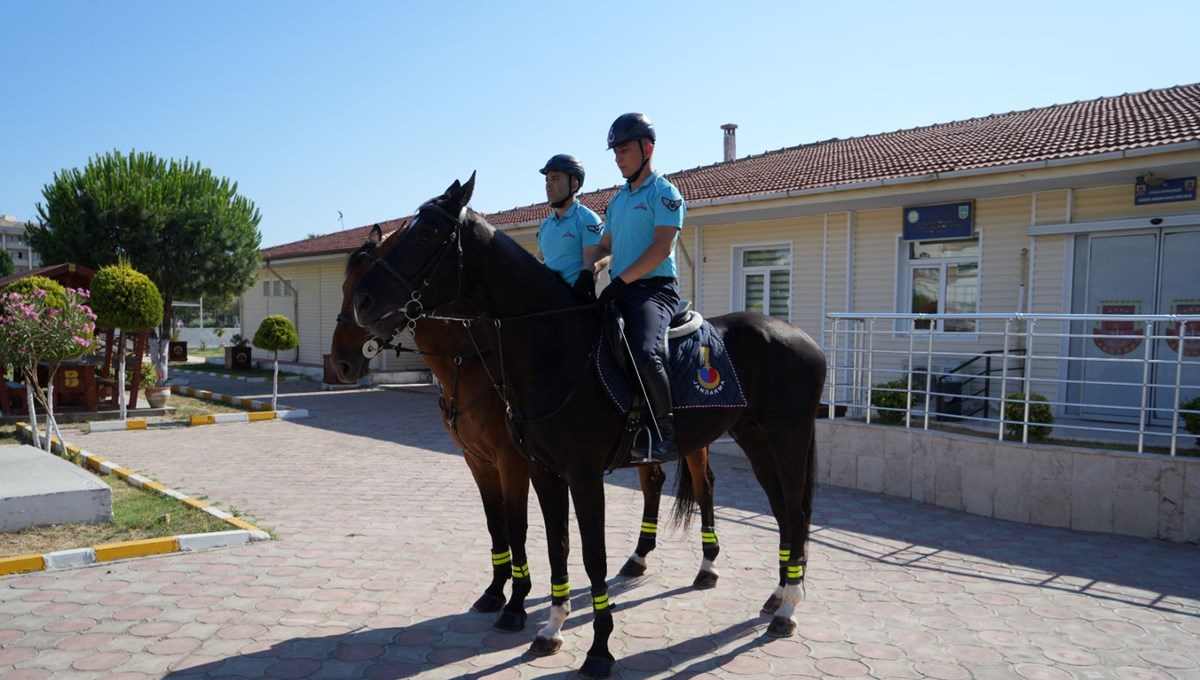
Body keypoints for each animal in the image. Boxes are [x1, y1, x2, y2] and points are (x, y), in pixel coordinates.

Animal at [331, 226, 720, 638]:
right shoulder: (478, 461)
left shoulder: (514, 462)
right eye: (346, 286)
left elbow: (517, 526)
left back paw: (705, 567)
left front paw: (516, 601)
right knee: (655, 482)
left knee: (703, 486)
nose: (342, 363)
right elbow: (496, 525)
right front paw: (494, 591)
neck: (473, 363)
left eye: (362, 289)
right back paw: (639, 557)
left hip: (693, 441)